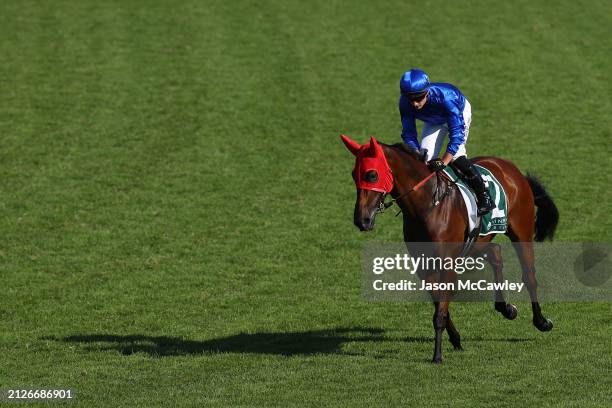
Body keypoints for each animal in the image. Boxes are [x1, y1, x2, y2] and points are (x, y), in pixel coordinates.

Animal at [340, 135, 560, 364]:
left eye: (372, 174)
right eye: (353, 175)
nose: (361, 220)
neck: (427, 205)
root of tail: (512, 169)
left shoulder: (447, 263)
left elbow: (441, 310)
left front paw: (437, 355)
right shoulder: (424, 266)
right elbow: (439, 305)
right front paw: (455, 339)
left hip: (521, 233)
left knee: (529, 276)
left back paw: (541, 321)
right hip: (476, 242)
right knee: (496, 253)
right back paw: (506, 308)